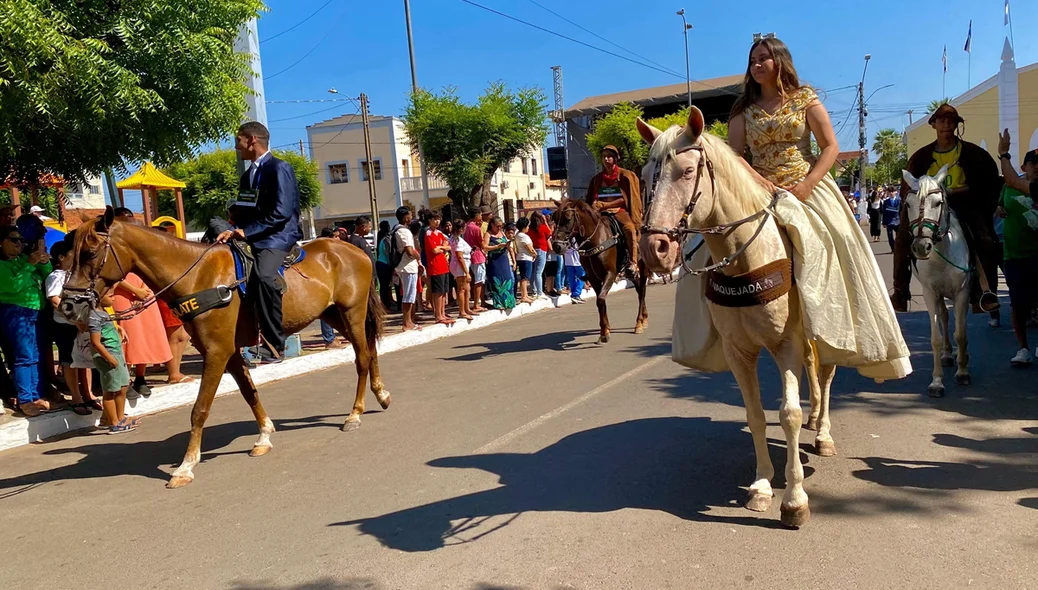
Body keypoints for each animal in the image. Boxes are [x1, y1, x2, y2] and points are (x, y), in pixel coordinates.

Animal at [61, 208, 392, 488]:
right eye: (69, 256)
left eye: (90, 253)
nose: (67, 306)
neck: (196, 277)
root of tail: (354, 249)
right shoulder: (229, 353)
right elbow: (249, 392)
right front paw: (263, 436)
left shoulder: (216, 352)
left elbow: (200, 409)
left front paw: (185, 466)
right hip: (335, 315)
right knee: (370, 350)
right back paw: (381, 394)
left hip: (351, 313)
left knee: (363, 358)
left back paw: (355, 414)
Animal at [552, 200, 647, 342]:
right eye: (553, 218)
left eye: (568, 218)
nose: (556, 246)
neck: (594, 240)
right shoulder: (593, 278)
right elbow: (600, 301)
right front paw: (605, 330)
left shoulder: (610, 274)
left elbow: (601, 299)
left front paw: (604, 332)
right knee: (640, 288)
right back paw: (644, 318)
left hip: (641, 267)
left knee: (641, 291)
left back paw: (639, 322)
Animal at [631, 108, 834, 527]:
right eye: (644, 176)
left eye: (687, 172)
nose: (654, 249)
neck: (746, 258)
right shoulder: (738, 350)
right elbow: (755, 415)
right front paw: (761, 486)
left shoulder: (785, 344)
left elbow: (787, 414)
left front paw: (794, 499)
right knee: (813, 367)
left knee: (825, 372)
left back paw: (822, 432)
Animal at [900, 166, 971, 396]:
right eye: (908, 204)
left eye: (938, 203)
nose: (922, 247)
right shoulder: (930, 293)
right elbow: (936, 338)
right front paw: (937, 382)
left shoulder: (962, 292)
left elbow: (961, 333)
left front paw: (963, 373)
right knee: (945, 318)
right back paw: (949, 355)